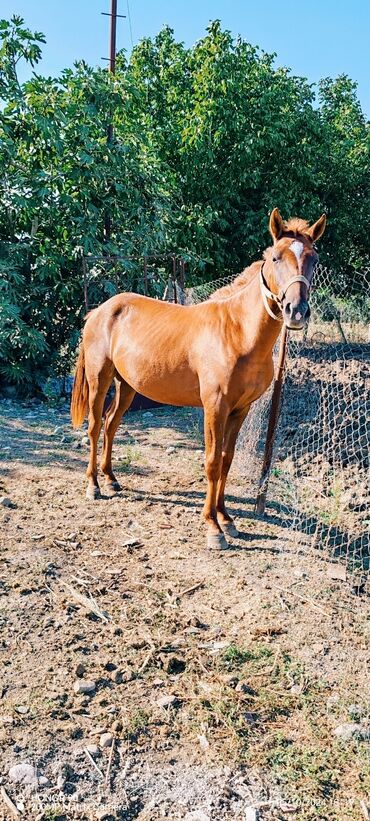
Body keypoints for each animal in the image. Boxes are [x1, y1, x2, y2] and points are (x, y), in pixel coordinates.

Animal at [71, 208, 326, 548]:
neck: (237, 332)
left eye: (313, 258)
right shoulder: (214, 407)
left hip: (126, 386)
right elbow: (212, 462)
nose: (296, 311)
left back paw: (111, 480)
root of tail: (99, 311)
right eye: (275, 258)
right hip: (100, 379)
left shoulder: (240, 409)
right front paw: (213, 528)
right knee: (95, 427)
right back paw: (93, 486)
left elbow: (227, 460)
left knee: (111, 425)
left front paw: (227, 519)